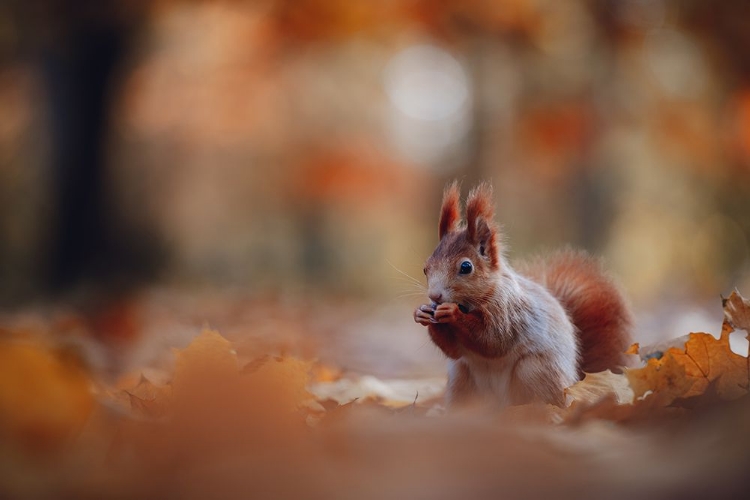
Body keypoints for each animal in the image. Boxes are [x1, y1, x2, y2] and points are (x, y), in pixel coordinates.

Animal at [414, 182, 632, 408]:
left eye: (466, 267)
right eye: (425, 268)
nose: (435, 296)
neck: (471, 303)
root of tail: (573, 386)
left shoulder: (510, 311)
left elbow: (493, 340)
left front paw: (452, 313)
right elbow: (454, 350)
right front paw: (422, 314)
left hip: (533, 371)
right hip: (461, 378)